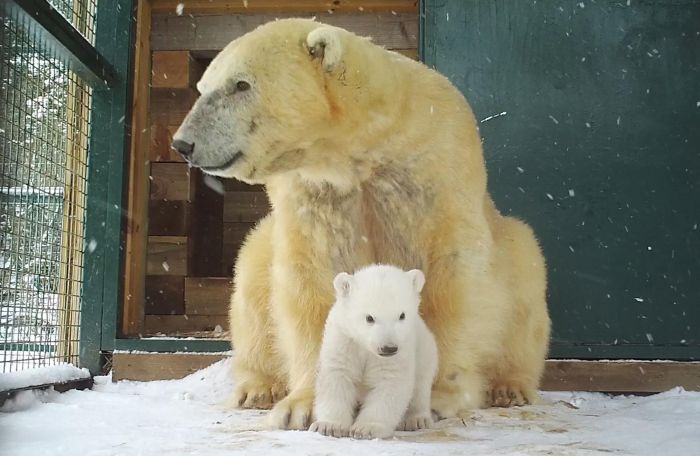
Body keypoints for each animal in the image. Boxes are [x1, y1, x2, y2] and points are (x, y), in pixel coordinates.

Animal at [309, 265, 438, 440]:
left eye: (402, 315)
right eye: (369, 318)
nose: (389, 348)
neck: (366, 347)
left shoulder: (401, 350)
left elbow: (390, 382)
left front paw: (366, 428)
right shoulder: (344, 340)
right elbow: (336, 376)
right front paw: (329, 426)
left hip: (425, 351)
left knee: (420, 387)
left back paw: (417, 420)